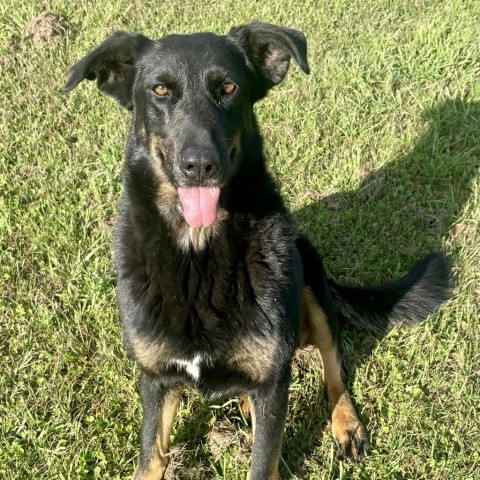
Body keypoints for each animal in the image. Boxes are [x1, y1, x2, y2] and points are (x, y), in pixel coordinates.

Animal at [63, 22, 450, 480]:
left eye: (229, 87)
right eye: (159, 90)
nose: (199, 166)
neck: (199, 256)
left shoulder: (271, 381)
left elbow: (264, 461)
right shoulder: (156, 380)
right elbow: (151, 457)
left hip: (312, 281)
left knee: (333, 366)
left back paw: (346, 424)